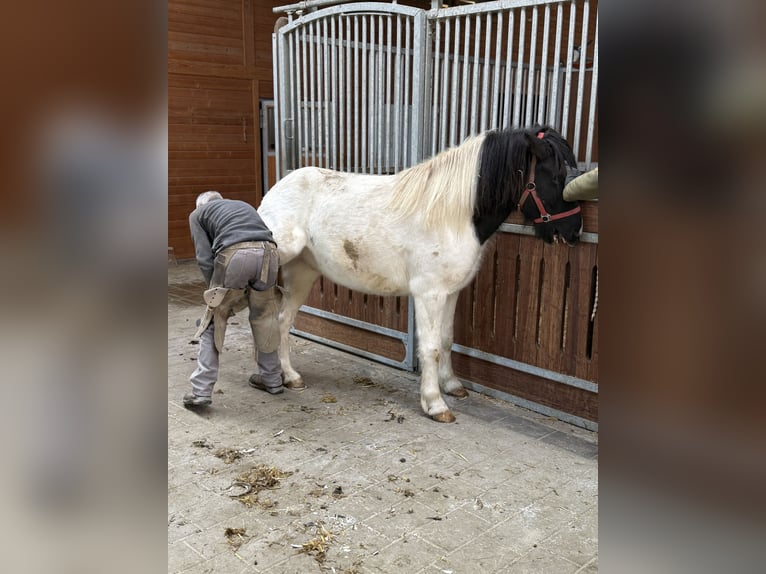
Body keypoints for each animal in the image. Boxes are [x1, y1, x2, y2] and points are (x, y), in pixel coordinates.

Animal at [257, 125, 582, 422]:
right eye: (556, 177)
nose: (574, 232)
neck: (452, 216)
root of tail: (275, 190)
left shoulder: (451, 292)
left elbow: (447, 339)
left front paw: (452, 385)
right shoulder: (429, 294)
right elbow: (430, 347)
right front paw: (435, 404)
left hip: (303, 273)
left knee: (282, 320)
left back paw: (289, 376)